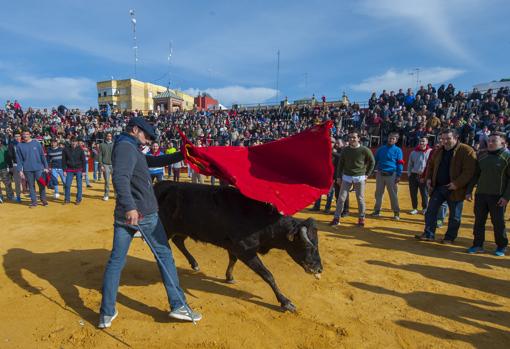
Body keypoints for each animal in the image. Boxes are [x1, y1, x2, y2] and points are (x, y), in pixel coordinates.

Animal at [153, 181, 324, 312]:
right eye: (309, 246)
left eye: (317, 244)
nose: (319, 269)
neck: (261, 220)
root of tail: (160, 185)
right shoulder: (245, 251)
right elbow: (268, 274)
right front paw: (285, 302)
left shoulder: (234, 247)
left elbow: (232, 260)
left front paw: (229, 277)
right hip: (165, 228)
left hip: (183, 229)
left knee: (178, 241)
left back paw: (194, 264)